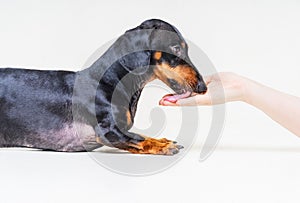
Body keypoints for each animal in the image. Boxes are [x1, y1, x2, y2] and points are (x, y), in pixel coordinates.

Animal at [0, 19, 206, 155]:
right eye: (176, 48)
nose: (203, 87)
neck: (110, 80)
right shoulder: (109, 132)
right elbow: (139, 139)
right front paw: (164, 146)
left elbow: (139, 134)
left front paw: (163, 140)